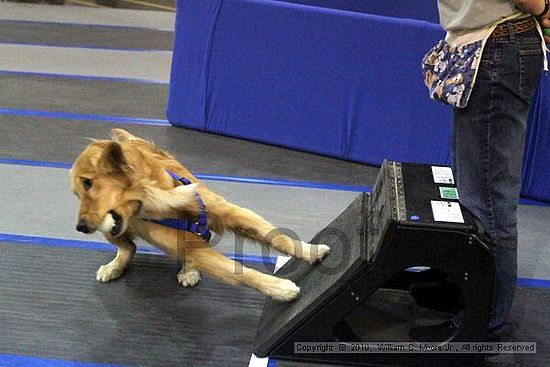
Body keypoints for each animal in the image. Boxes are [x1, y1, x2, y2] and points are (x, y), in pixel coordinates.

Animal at [68, 129, 328, 302]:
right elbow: (240, 272)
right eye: (76, 194)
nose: (80, 226)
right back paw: (114, 267)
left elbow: (277, 237)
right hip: (112, 232)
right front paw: (280, 288)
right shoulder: (183, 242)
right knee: (128, 248)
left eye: (88, 183)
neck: (158, 197)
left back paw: (188, 270)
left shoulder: (228, 211)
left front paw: (310, 251)